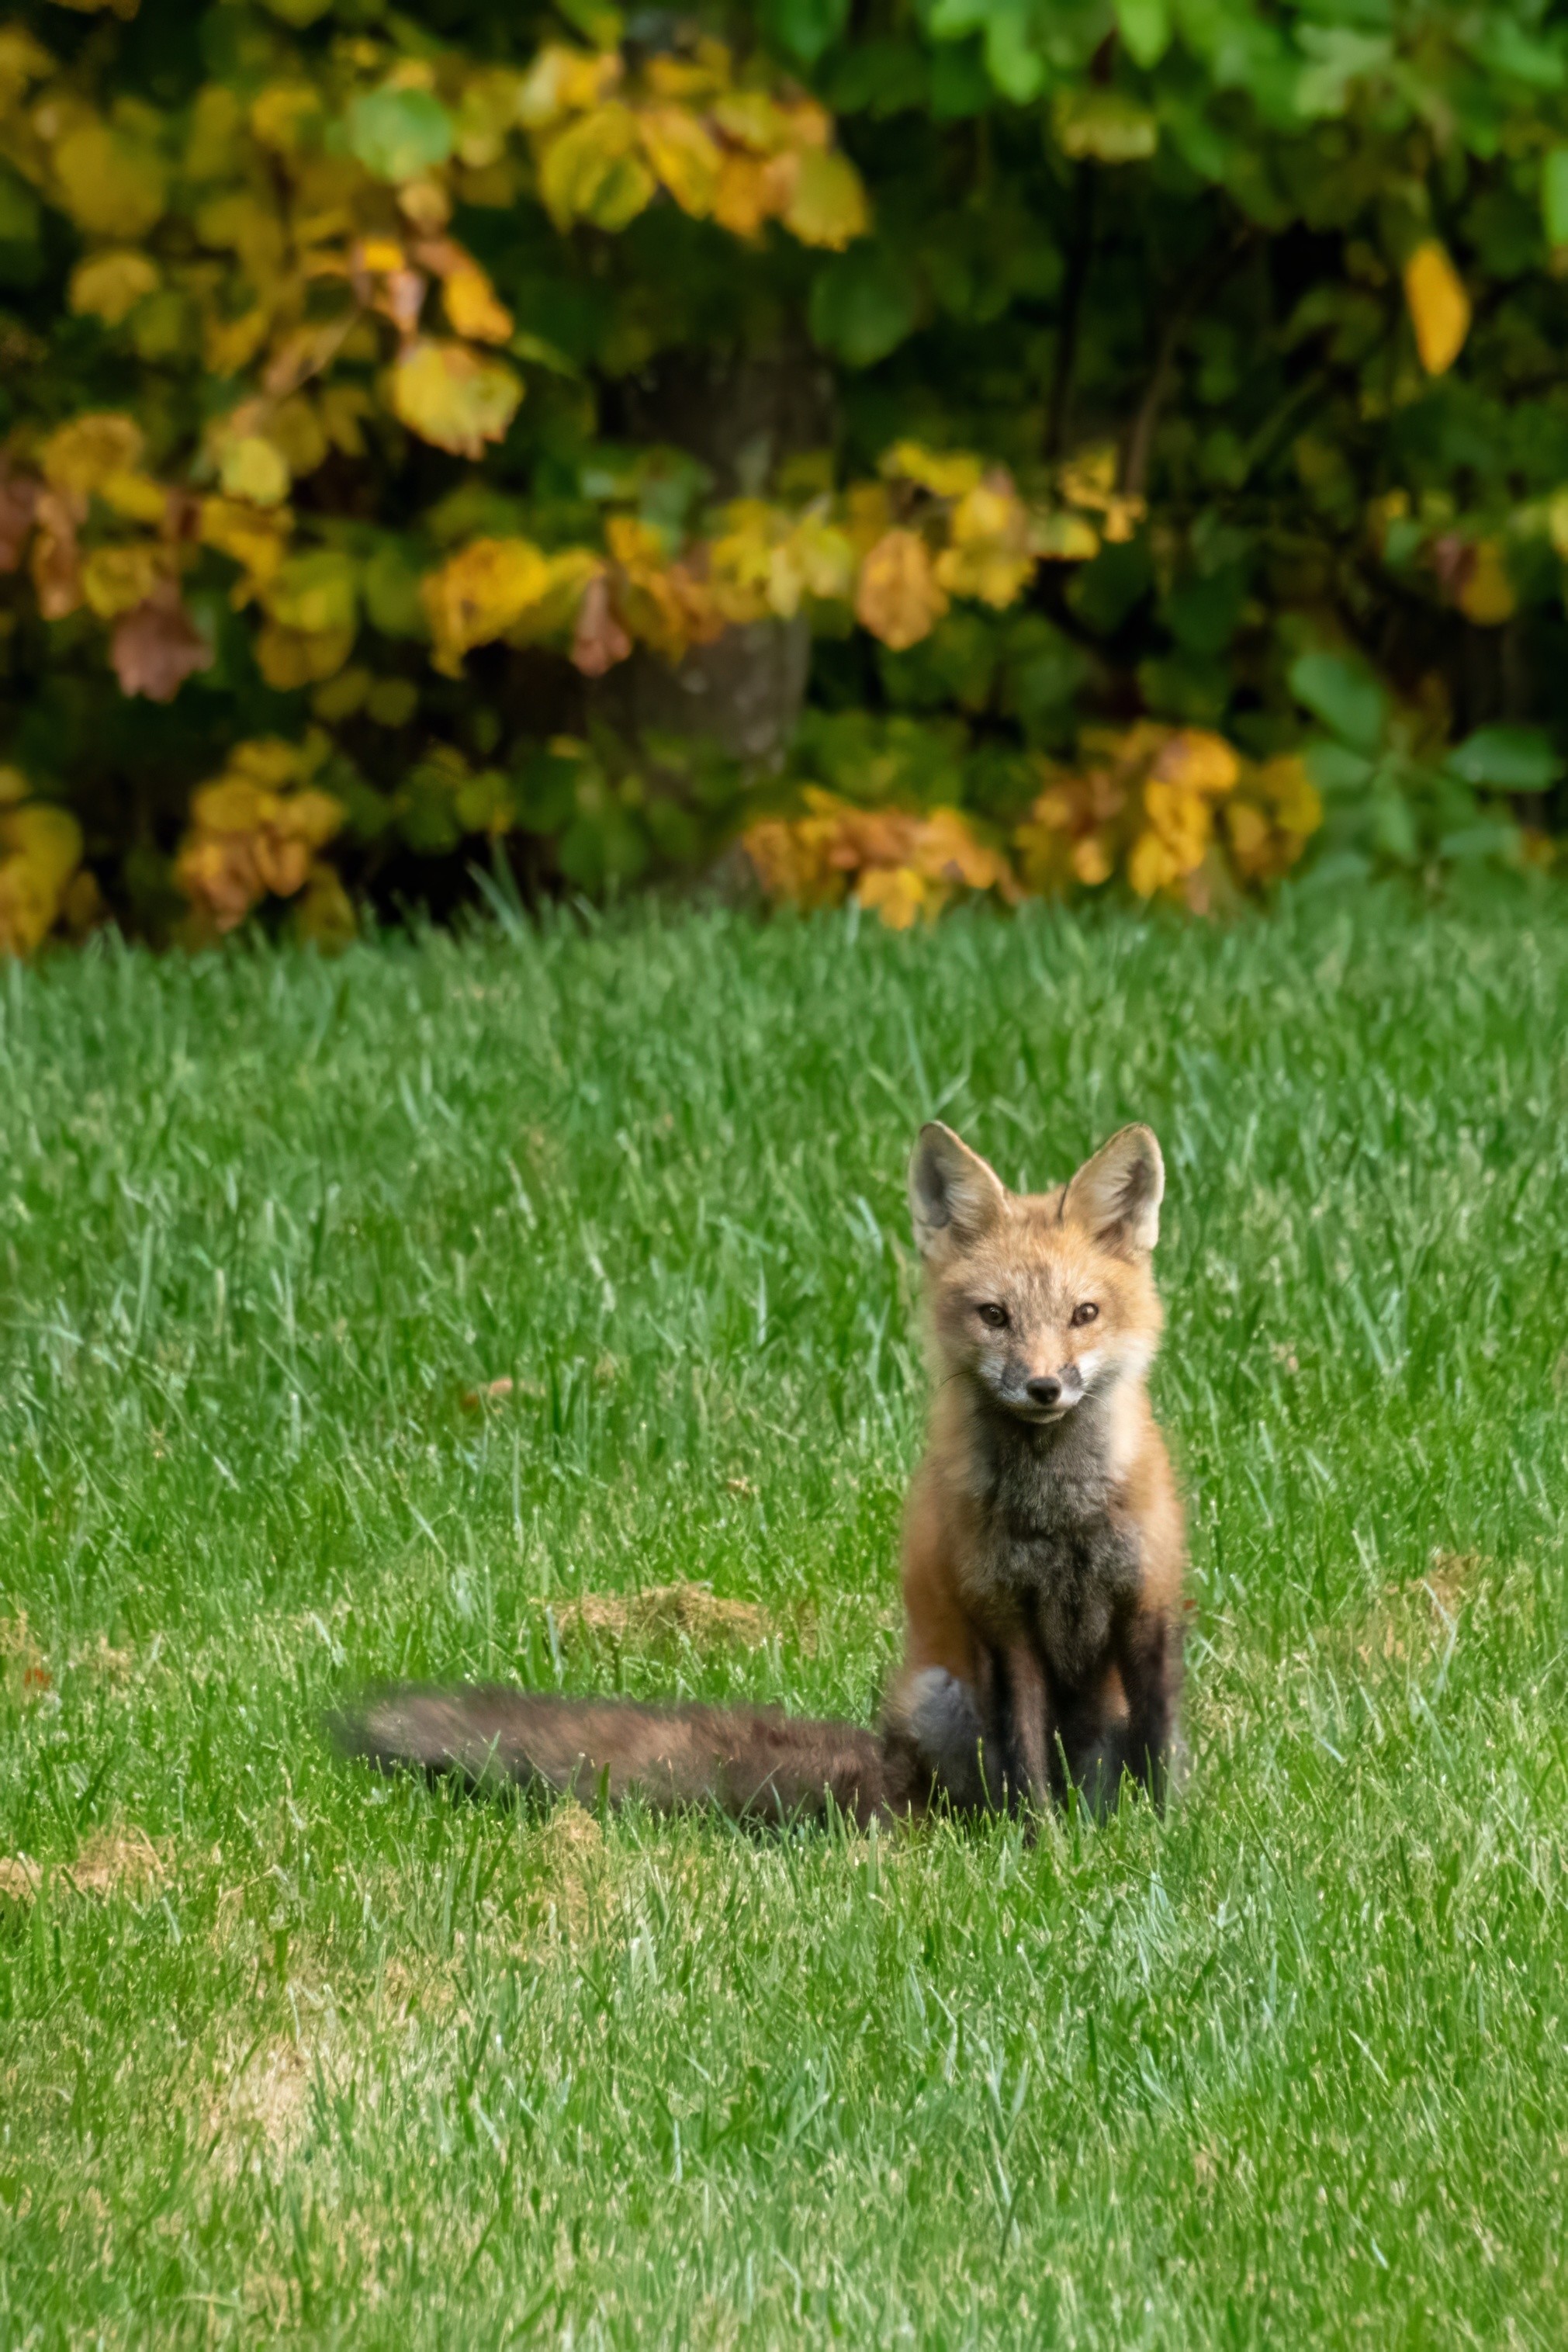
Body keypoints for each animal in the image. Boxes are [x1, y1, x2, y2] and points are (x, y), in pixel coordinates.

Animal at [334, 1128, 1189, 1825]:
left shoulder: (1149, 1601)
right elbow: (1028, 1765)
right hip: (942, 1697)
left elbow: (1161, 1743)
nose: (1043, 1387)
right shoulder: (1003, 1620)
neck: (1060, 1514)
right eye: (994, 1316)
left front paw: (1164, 1836)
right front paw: (1047, 1848)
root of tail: (887, 1758)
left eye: (1083, 1314)